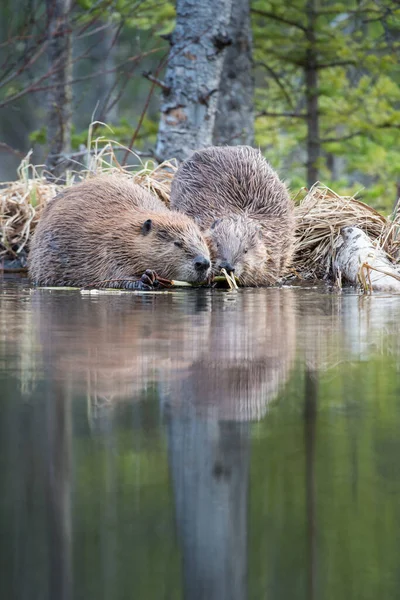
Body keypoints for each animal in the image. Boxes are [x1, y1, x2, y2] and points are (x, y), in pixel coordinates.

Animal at [28, 175, 212, 290]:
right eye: (177, 243)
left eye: (200, 239)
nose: (203, 263)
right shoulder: (108, 249)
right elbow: (112, 277)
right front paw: (145, 279)